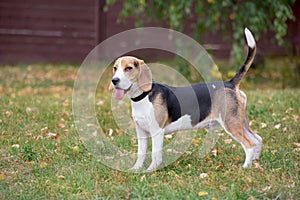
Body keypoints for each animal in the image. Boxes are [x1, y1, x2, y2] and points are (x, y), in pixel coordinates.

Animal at [109, 28, 262, 172]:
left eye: (128, 68)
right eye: (115, 68)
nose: (114, 80)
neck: (144, 96)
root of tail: (229, 83)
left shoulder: (157, 131)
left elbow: (155, 155)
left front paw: (151, 170)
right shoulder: (141, 132)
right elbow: (141, 154)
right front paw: (135, 169)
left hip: (231, 123)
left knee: (249, 144)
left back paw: (245, 167)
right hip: (240, 121)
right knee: (258, 139)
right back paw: (255, 162)